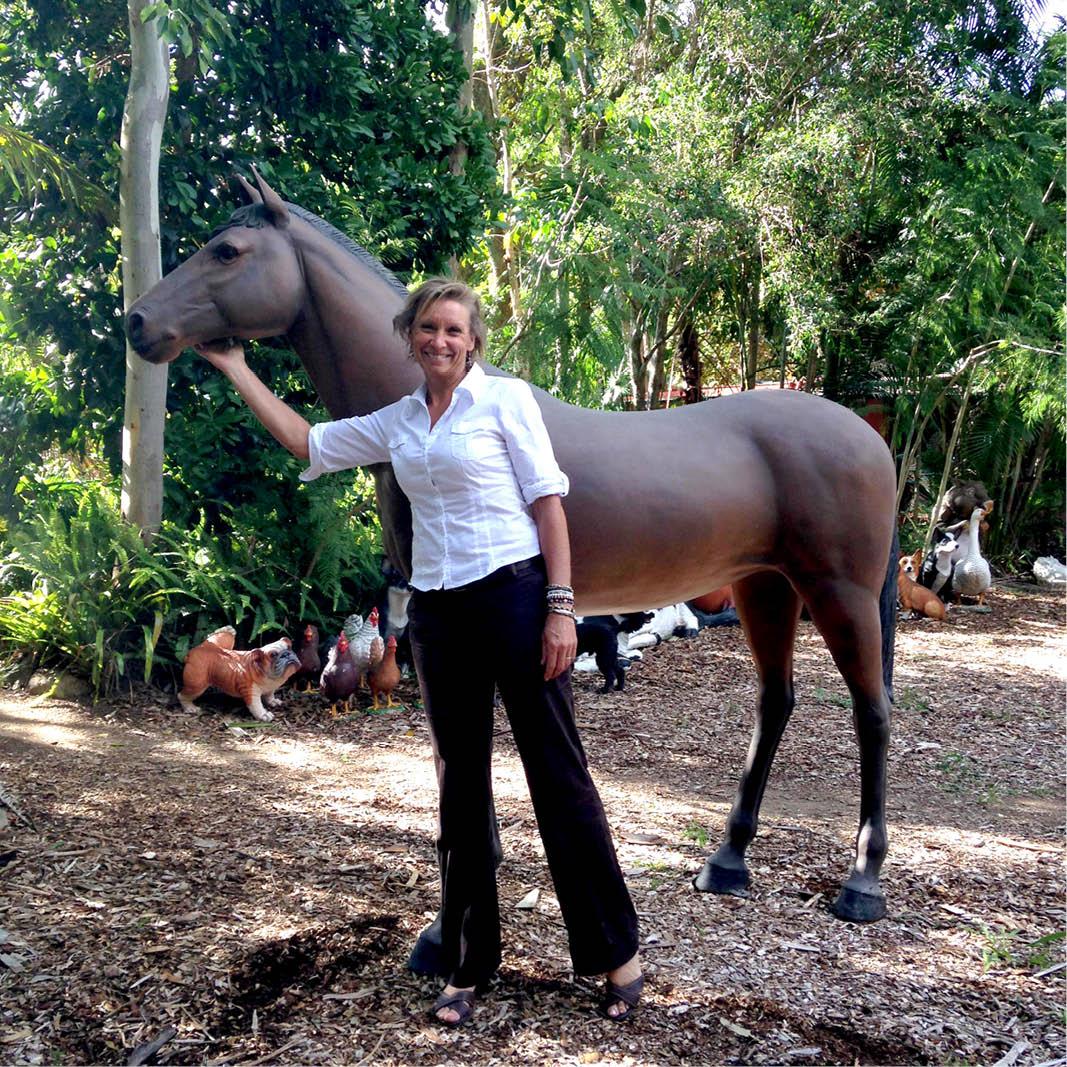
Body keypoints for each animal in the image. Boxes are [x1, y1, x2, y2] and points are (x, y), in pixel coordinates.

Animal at [127, 169, 900, 924]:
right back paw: (727, 862)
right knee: (775, 703)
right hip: (764, 586)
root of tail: (870, 438)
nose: (138, 321)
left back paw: (861, 883)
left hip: (838, 593)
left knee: (872, 710)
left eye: (227, 251)